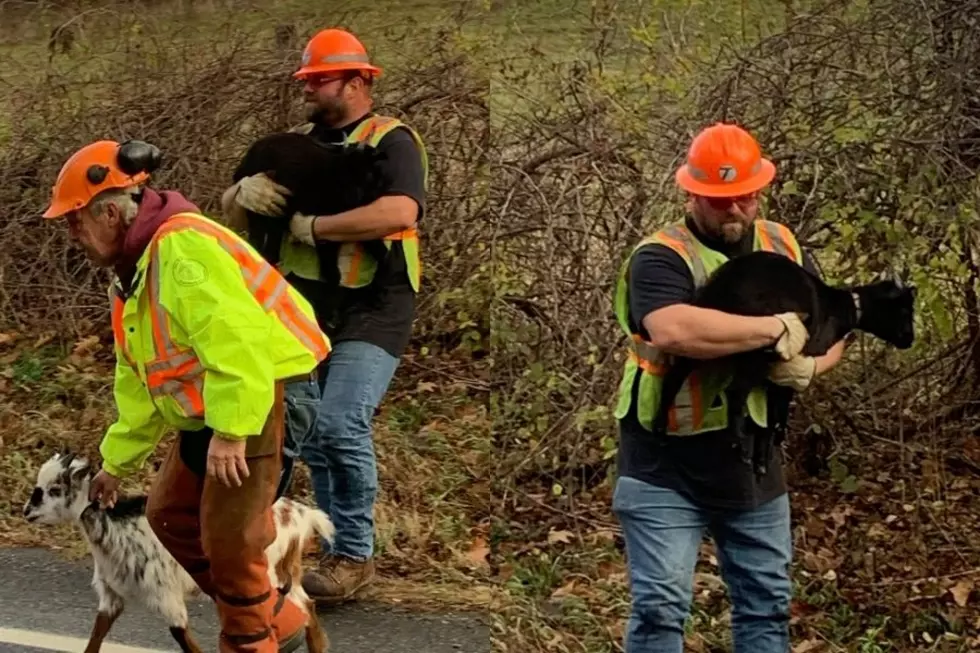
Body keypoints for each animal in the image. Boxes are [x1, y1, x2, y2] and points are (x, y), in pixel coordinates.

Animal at [23, 448, 336, 652]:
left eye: (54, 489)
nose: (27, 512)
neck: (117, 527)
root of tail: (300, 515)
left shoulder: (167, 597)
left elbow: (183, 639)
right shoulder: (111, 596)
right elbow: (95, 637)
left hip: (263, 573)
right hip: (285, 572)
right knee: (306, 604)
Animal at [234, 131, 390, 286]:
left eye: (367, 173)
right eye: (346, 172)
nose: (353, 196)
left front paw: (384, 259)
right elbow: (329, 256)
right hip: (263, 215)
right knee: (260, 241)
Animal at [656, 251, 916, 474]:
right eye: (904, 311)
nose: (910, 339)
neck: (846, 308)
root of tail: (729, 283)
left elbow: (769, 416)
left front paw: (764, 456)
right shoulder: (790, 366)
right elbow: (775, 414)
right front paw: (764, 458)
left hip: (701, 338)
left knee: (673, 377)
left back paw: (659, 427)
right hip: (756, 350)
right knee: (735, 391)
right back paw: (739, 446)